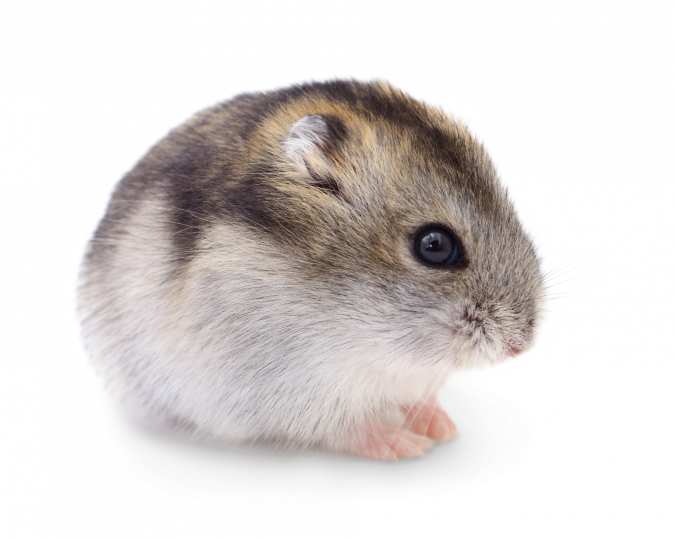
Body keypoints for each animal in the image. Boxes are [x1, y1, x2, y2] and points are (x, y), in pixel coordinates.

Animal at [71, 74, 548, 462]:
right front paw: (412, 447)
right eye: (435, 246)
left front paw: (444, 430)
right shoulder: (282, 393)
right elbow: (347, 429)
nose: (521, 347)